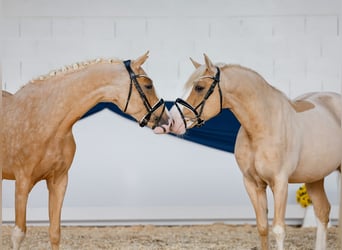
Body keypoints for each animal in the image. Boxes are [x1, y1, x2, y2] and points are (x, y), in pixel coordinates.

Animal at [3, 51, 171, 249]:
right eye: (148, 85)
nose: (167, 121)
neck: (45, 119)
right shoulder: (22, 182)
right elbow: (18, 234)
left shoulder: (59, 181)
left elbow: (55, 232)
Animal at [167, 54, 340, 250]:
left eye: (199, 87)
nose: (173, 122)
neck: (263, 127)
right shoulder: (253, 183)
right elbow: (263, 227)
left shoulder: (280, 183)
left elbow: (278, 230)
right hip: (314, 177)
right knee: (323, 211)